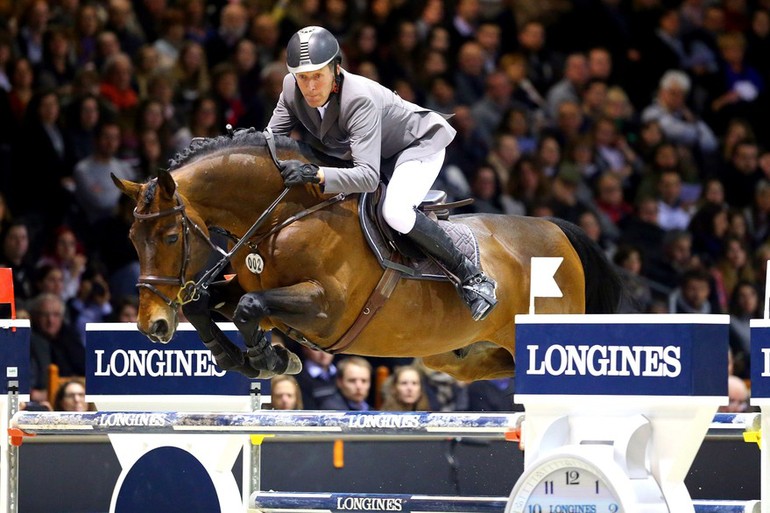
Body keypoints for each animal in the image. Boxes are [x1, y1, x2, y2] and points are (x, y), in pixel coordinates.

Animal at [111, 130, 620, 380]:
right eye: (132, 240)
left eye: (170, 238)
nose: (152, 326)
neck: (285, 215)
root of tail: (555, 229)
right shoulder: (258, 292)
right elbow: (207, 304)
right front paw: (249, 359)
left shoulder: (326, 307)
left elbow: (250, 308)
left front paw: (270, 359)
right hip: (459, 349)